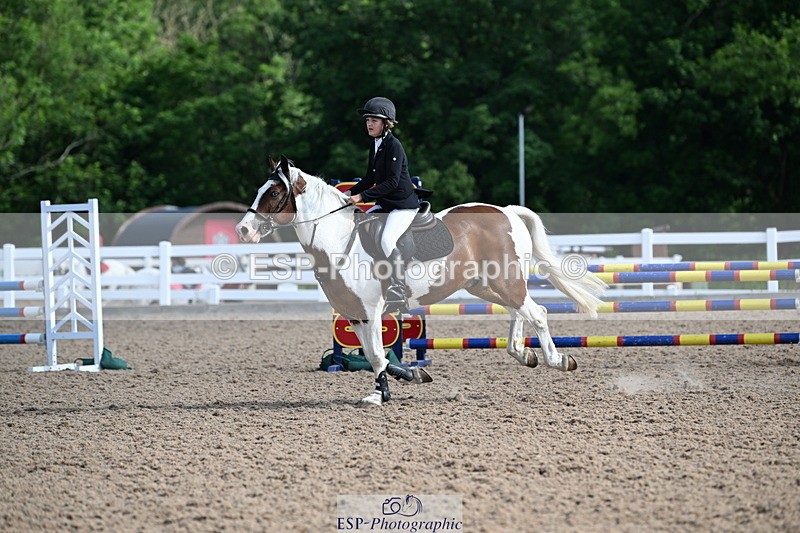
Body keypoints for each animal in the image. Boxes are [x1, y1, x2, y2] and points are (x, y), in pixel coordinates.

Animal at [236, 156, 607, 406]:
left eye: (273, 194)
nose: (243, 230)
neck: (339, 240)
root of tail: (506, 211)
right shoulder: (355, 316)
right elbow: (376, 356)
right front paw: (411, 376)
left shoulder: (371, 311)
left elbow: (376, 355)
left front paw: (380, 395)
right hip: (486, 284)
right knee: (519, 310)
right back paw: (521, 353)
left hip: (504, 281)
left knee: (537, 313)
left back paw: (558, 360)